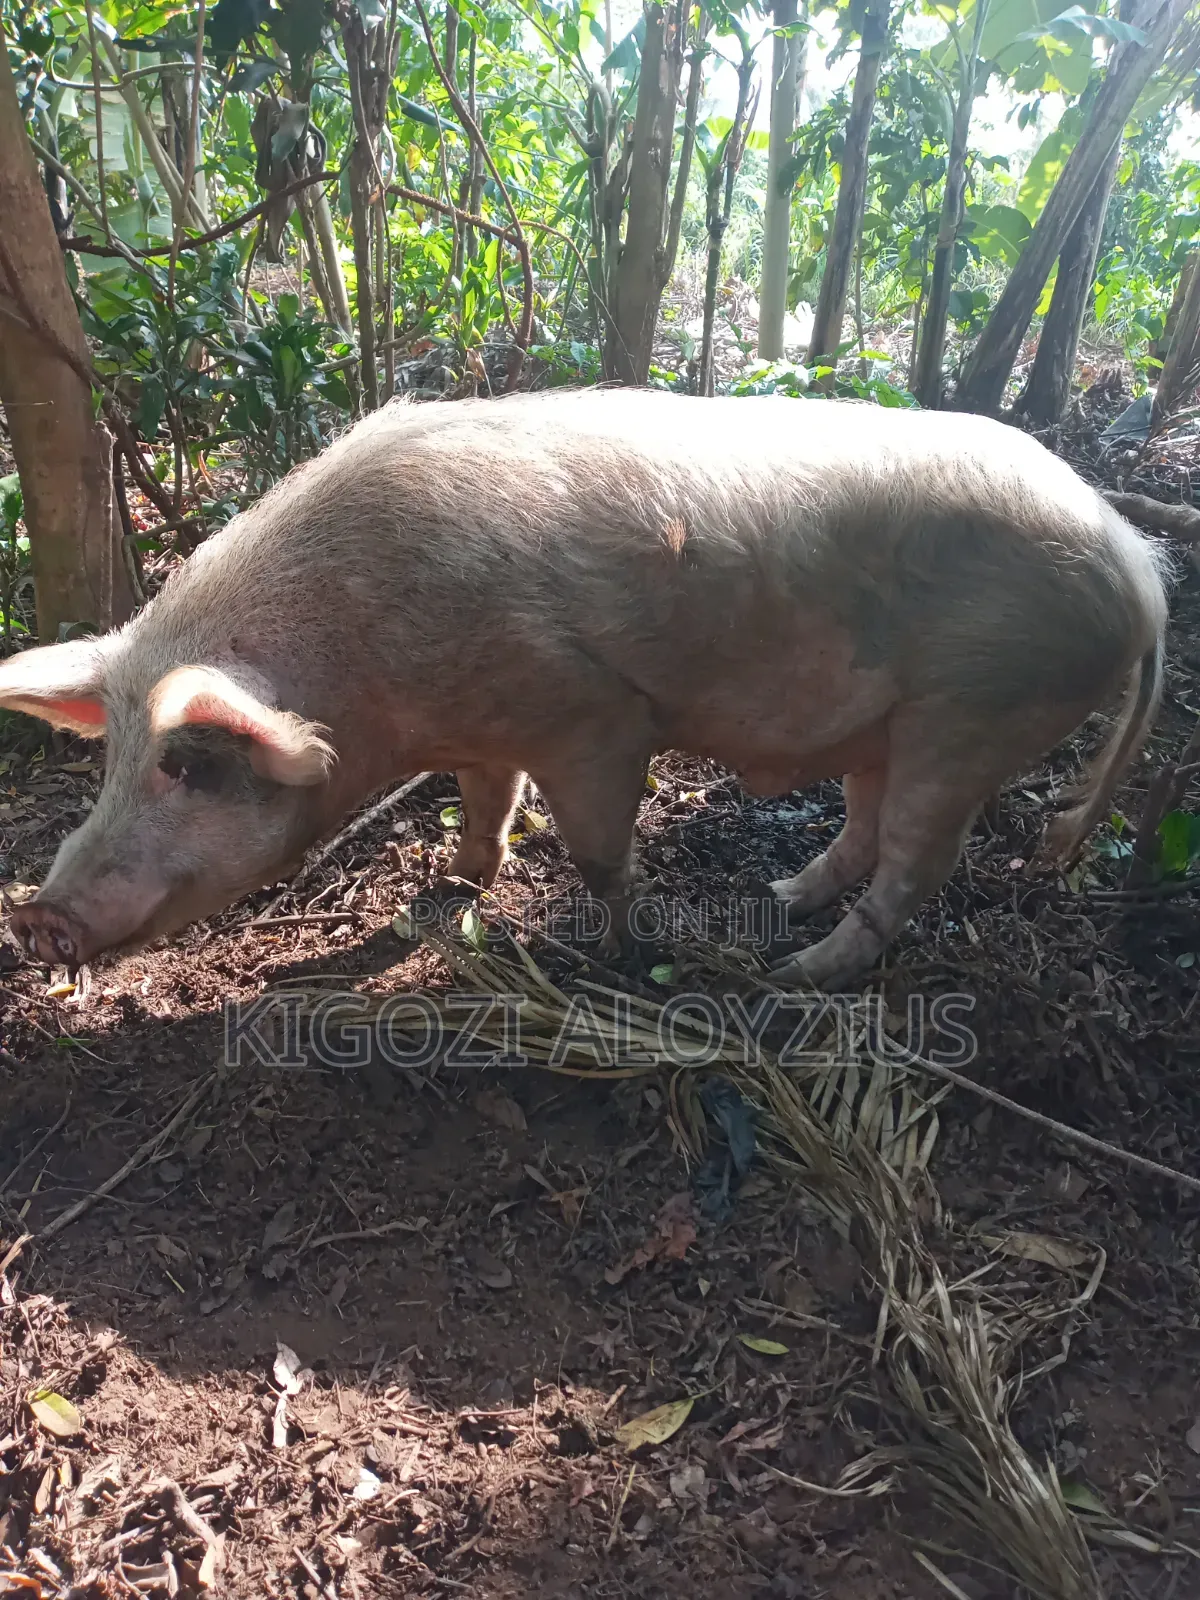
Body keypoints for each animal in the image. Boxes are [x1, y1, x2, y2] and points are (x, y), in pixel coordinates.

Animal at [0, 388, 1168, 989]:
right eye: (110, 760)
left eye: (191, 764)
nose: (39, 918)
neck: (367, 662)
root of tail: (1135, 568)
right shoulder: (485, 729)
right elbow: (484, 807)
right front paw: (448, 883)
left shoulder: (593, 716)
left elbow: (601, 849)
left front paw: (618, 947)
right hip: (895, 724)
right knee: (865, 831)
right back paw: (782, 896)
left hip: (970, 714)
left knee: (918, 867)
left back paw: (798, 976)